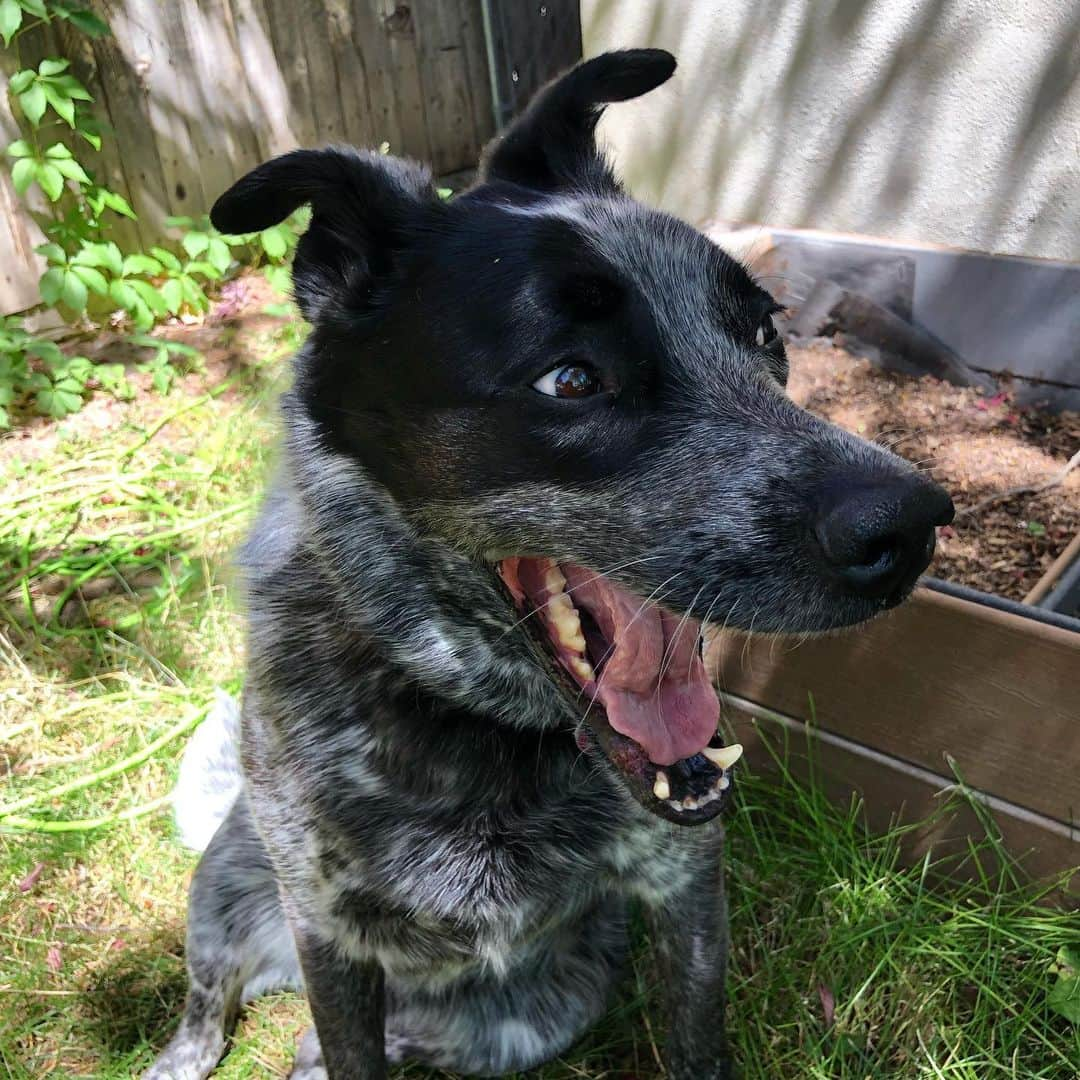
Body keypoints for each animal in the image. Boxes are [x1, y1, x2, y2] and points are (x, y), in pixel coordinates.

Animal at [147, 50, 950, 1080]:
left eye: (763, 334)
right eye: (570, 379)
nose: (913, 528)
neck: (475, 725)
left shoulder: (686, 887)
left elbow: (697, 1036)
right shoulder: (327, 929)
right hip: (221, 892)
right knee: (212, 1008)